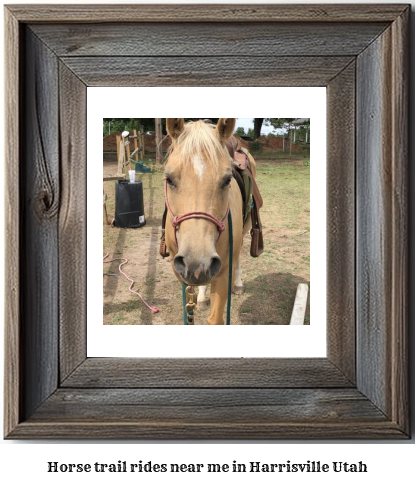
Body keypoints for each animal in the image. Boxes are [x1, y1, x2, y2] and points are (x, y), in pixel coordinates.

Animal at [163, 117, 255, 324]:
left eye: (227, 179)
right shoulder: (180, 269)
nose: (196, 264)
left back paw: (237, 284)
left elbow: (216, 319)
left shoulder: (223, 272)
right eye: (169, 178)